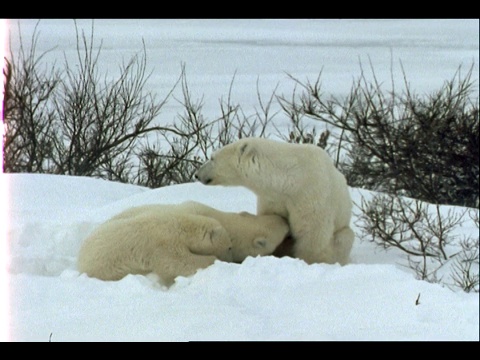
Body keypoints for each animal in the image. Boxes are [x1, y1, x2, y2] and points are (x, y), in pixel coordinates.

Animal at [193, 137, 354, 264]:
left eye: (212, 157)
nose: (197, 174)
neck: (289, 179)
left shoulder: (311, 193)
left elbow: (312, 234)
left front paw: (309, 260)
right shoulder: (273, 198)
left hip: (343, 232)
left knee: (344, 238)